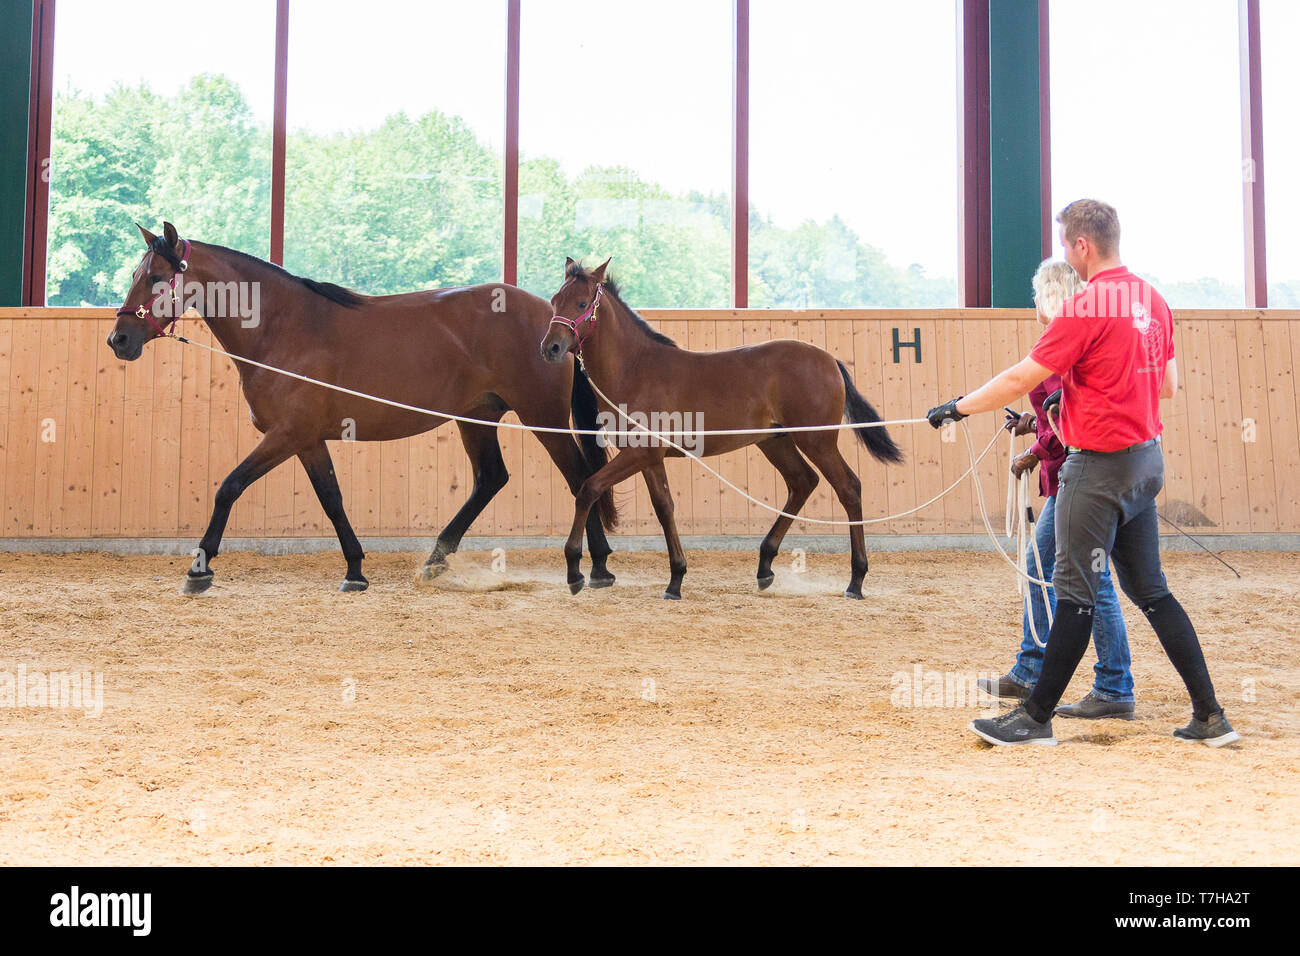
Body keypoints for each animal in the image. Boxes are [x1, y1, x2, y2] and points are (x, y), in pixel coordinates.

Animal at [108, 222, 618, 594]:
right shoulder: (307, 439)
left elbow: (229, 487)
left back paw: (593, 568)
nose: (119, 339)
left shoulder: (286, 435)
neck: (282, 328)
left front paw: (200, 569)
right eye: (135, 275)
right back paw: (436, 560)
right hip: (478, 416)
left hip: (541, 416)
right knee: (491, 478)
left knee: (579, 477)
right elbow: (331, 499)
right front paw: (354, 569)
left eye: (156, 278)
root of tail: (558, 324)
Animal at [540, 257, 903, 600]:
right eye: (555, 300)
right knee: (802, 482)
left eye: (582, 303)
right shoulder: (650, 458)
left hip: (818, 441)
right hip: (775, 442)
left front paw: (574, 571)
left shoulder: (639, 453)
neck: (635, 369)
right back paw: (765, 566)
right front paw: (676, 580)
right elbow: (664, 508)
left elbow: (588, 488)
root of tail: (830, 361)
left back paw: (856, 580)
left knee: (848, 488)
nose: (550, 348)